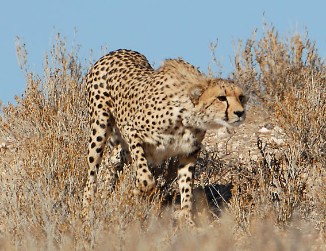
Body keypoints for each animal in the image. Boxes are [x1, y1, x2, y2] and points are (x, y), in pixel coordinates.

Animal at [83, 49, 246, 224]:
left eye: (241, 97)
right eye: (221, 98)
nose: (240, 112)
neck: (188, 115)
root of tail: (116, 51)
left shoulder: (188, 152)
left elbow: (186, 186)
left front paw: (187, 218)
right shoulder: (131, 130)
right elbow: (146, 178)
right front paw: (140, 191)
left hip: (123, 151)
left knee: (111, 161)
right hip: (100, 128)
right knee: (92, 172)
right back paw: (88, 207)